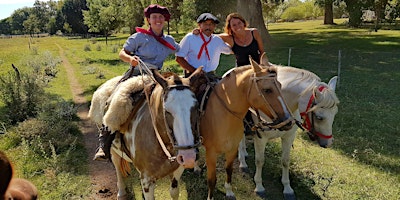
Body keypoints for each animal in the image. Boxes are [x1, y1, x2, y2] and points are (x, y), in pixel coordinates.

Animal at [108, 67, 205, 200]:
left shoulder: (178, 169)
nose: (188, 157)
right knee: (117, 165)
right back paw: (121, 192)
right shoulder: (147, 180)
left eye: (195, 106)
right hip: (113, 150)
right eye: (166, 110)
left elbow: (174, 192)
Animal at [202, 54, 292, 200]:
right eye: (267, 90)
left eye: (280, 85)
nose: (288, 121)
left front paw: (229, 191)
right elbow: (212, 179)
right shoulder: (211, 152)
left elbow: (229, 170)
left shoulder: (232, 149)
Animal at [238, 59, 340, 198]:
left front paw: (287, 188)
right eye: (319, 117)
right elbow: (260, 161)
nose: (328, 143)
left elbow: (285, 161)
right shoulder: (260, 139)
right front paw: (259, 186)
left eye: (335, 113)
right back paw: (242, 162)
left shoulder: (289, 137)